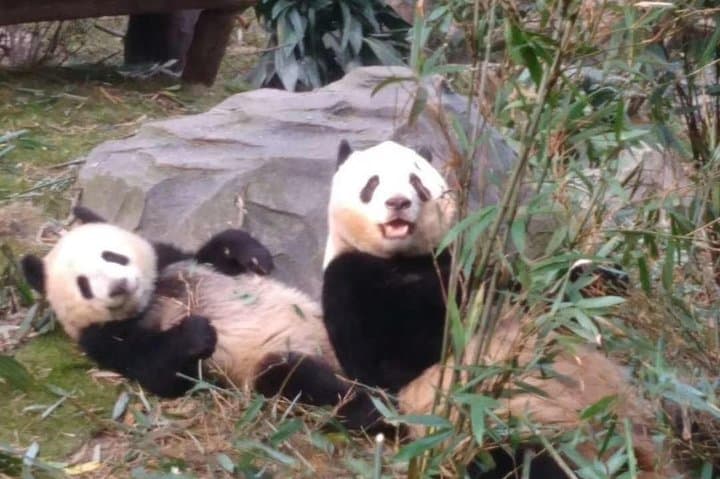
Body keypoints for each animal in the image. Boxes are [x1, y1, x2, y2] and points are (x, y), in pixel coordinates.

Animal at [20, 207, 380, 427]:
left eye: (112, 256)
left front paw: (252, 255)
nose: (119, 286)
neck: (149, 301)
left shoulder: (172, 262)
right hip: (272, 364)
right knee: (295, 376)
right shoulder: (103, 339)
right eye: (83, 285)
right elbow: (159, 372)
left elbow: (209, 254)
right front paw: (196, 333)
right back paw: (369, 409)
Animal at [321, 140, 680, 478]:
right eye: (372, 183)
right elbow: (394, 359)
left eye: (415, 181)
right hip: (497, 426)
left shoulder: (469, 265)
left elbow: (536, 295)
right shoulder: (348, 282)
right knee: (523, 460)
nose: (398, 202)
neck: (402, 258)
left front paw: (602, 278)